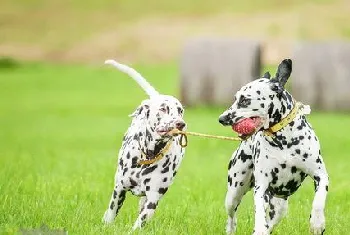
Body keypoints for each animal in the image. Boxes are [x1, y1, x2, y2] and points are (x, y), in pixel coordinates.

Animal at [102, 59, 187, 229]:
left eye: (180, 110)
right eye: (163, 109)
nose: (180, 124)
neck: (147, 155)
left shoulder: (152, 199)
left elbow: (139, 224)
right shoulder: (119, 190)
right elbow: (111, 213)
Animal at [219, 57, 328, 234]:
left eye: (244, 100)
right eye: (235, 98)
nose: (221, 118)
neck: (284, 141)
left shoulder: (321, 175)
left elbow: (319, 201)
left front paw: (317, 222)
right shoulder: (261, 187)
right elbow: (259, 211)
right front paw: (259, 227)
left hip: (279, 207)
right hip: (234, 192)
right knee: (232, 216)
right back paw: (233, 228)